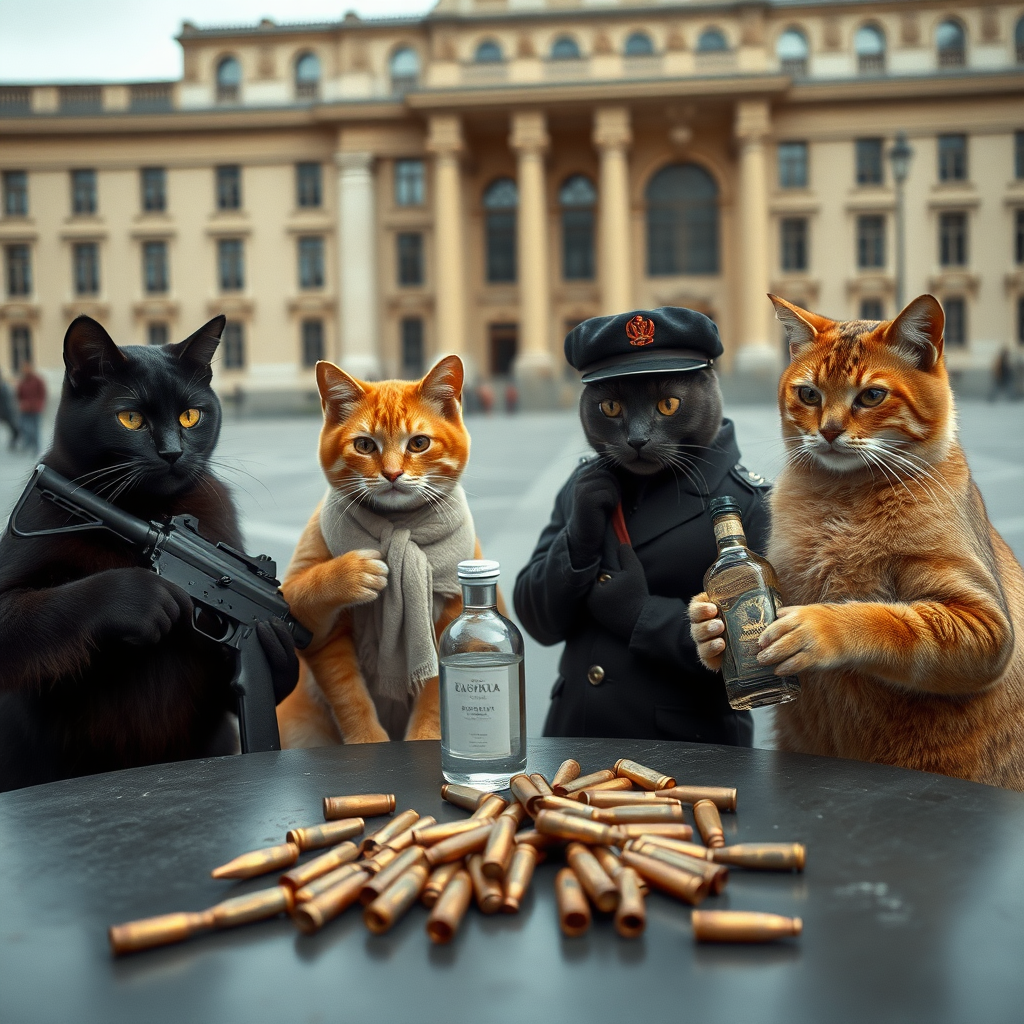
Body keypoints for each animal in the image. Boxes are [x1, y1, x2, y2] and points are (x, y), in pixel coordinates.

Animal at [0, 317, 296, 790]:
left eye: (190, 416)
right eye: (131, 419)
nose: (173, 453)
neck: (149, 511)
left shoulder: (239, 630)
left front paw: (282, 658)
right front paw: (137, 597)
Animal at [274, 356, 477, 749]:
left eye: (419, 443)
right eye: (365, 445)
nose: (393, 473)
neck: (398, 528)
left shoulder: (448, 628)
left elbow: (434, 696)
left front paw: (425, 737)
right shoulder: (309, 625)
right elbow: (349, 695)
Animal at [688, 296, 1024, 790]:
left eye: (871, 396)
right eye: (809, 394)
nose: (828, 431)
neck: (839, 499)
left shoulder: (985, 625)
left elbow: (888, 622)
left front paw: (820, 627)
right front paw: (707, 626)